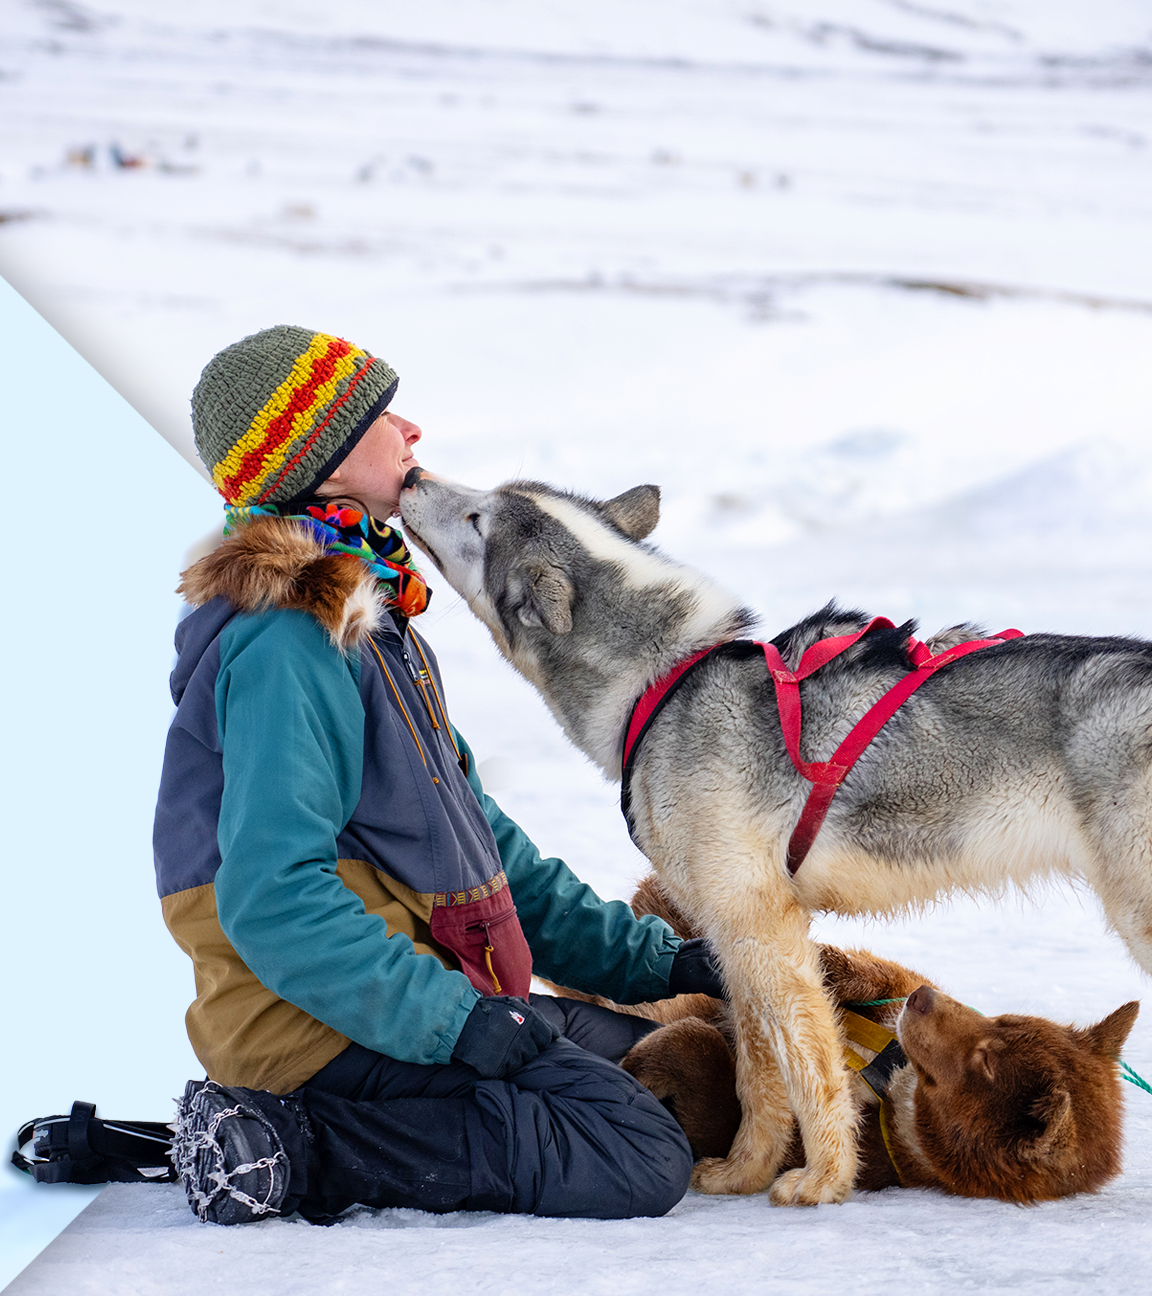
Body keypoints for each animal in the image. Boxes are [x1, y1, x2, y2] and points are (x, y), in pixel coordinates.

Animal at [580, 876, 1135, 1207]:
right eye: (1000, 1020)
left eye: (985, 1062)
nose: (924, 1000)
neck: (891, 1075)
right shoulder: (891, 988)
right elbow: (847, 970)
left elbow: (702, 1061)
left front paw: (638, 1068)